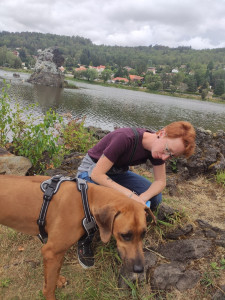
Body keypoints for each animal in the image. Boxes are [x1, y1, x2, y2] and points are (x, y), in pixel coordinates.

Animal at [0, 175, 155, 298]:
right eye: (125, 235)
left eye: (144, 233)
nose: (139, 269)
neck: (87, 199)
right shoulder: (51, 251)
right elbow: (49, 289)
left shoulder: (56, 252)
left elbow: (54, 272)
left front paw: (57, 280)